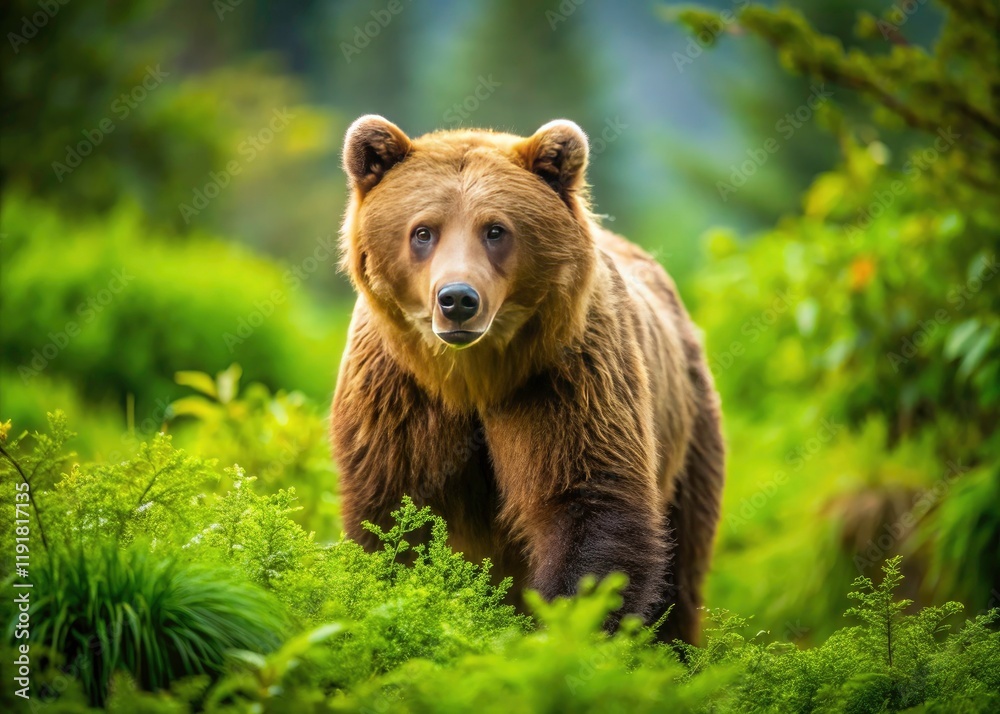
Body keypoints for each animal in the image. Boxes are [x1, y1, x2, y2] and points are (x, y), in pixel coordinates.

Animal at [331, 115, 724, 643]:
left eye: (495, 230)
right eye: (423, 231)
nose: (458, 299)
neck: (472, 377)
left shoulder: (564, 378)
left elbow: (587, 500)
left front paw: (561, 630)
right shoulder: (397, 396)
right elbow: (391, 518)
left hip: (688, 437)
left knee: (680, 573)